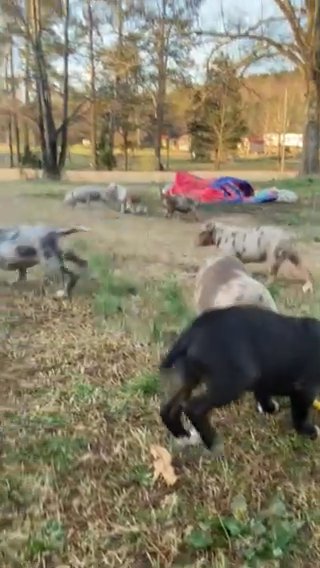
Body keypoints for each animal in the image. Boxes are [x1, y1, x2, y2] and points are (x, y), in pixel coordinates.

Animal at [160, 304, 320, 450]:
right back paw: (213, 443)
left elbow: (263, 394)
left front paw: (268, 408)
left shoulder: (264, 378)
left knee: (170, 407)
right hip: (233, 382)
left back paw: (182, 434)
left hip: (191, 379)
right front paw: (309, 431)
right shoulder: (304, 389)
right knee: (193, 408)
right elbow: (299, 414)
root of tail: (195, 329)